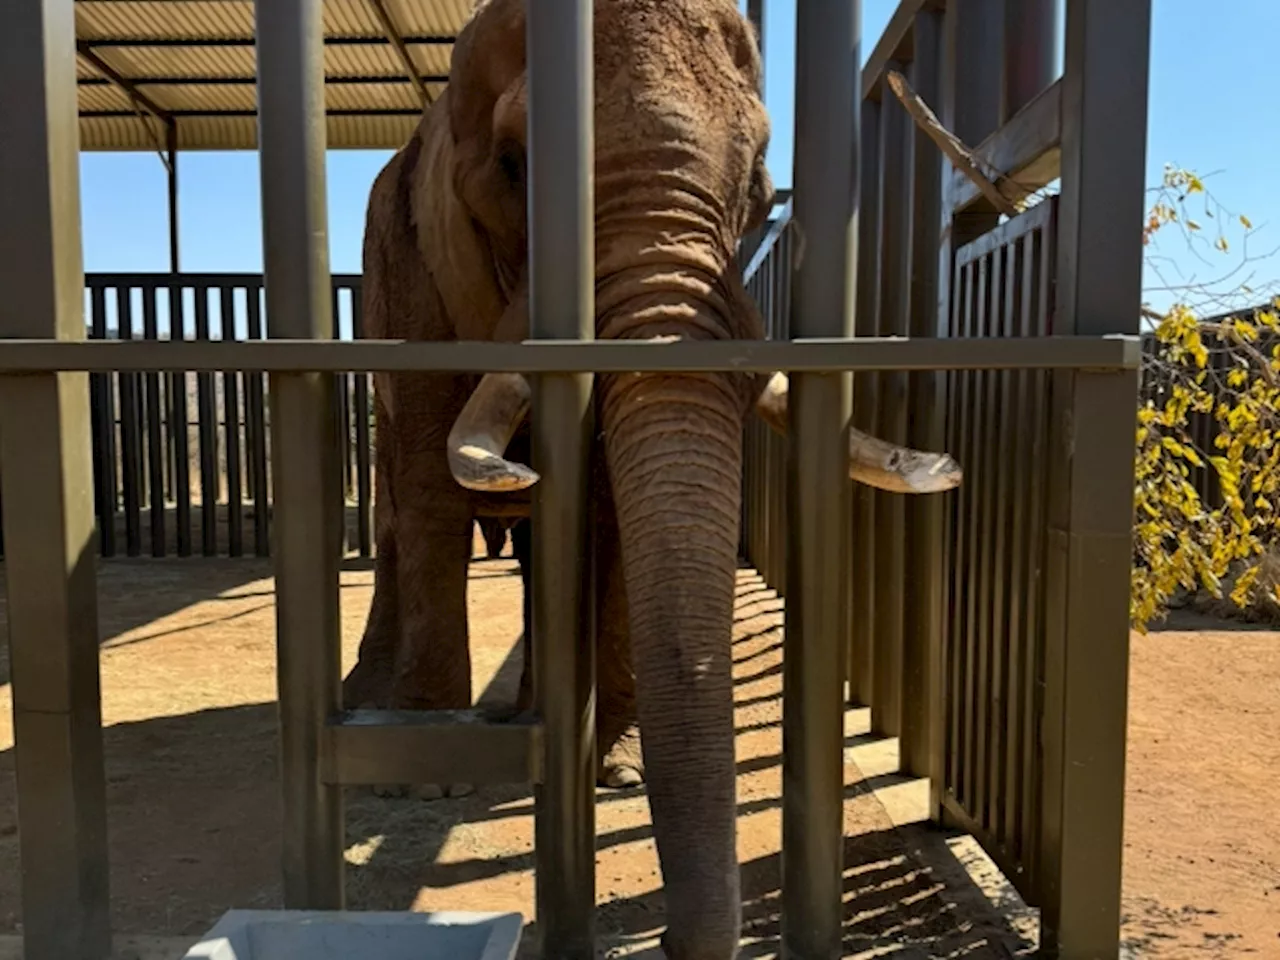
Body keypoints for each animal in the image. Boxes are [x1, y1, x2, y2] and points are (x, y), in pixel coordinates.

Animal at [340, 1, 962, 957]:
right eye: (515, 167)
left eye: (759, 179)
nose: (664, 940)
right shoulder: (412, 278)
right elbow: (433, 489)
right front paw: (427, 782)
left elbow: (607, 511)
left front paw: (618, 774)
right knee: (398, 519)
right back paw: (377, 705)